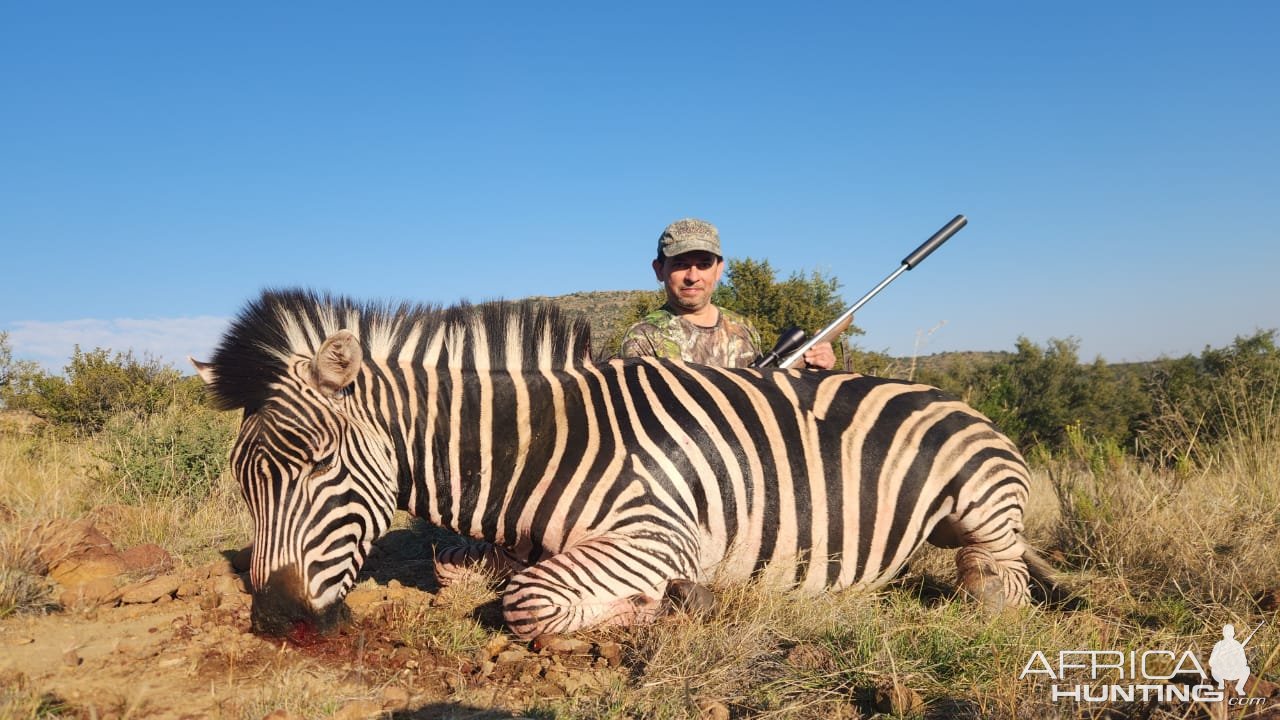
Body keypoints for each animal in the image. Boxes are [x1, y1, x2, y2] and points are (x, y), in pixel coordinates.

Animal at [189, 288, 1049, 635]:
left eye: (317, 467)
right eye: (245, 484)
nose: (272, 618)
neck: (543, 447)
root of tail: (962, 401)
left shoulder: (656, 533)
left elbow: (529, 601)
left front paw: (673, 605)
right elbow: (479, 576)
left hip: (980, 506)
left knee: (1001, 582)